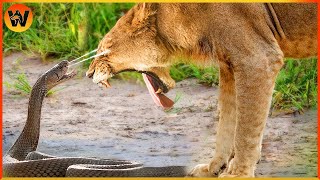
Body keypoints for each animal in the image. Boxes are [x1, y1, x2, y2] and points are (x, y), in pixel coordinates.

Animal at [85, 3, 318, 177]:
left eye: (104, 49)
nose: (88, 73)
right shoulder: (229, 65)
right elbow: (228, 119)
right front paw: (214, 167)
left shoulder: (258, 59)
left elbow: (246, 128)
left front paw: (238, 173)